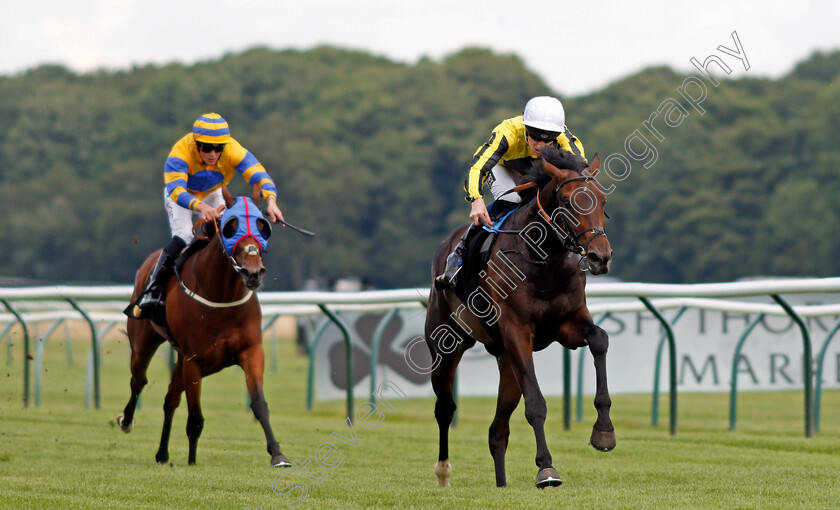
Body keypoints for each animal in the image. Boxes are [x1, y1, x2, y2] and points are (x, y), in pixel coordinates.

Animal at [116, 193, 290, 468]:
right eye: (230, 226)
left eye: (263, 227)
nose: (253, 272)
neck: (221, 295)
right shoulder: (194, 360)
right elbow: (195, 417)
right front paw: (192, 461)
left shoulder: (251, 351)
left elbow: (260, 404)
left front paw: (278, 454)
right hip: (143, 342)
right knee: (139, 380)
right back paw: (127, 420)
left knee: (170, 399)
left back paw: (162, 453)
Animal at [426, 145, 616, 488]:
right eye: (567, 201)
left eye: (602, 200)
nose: (600, 256)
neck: (543, 262)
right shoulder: (517, 332)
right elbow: (536, 404)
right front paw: (546, 468)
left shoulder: (567, 325)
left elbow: (600, 339)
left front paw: (604, 432)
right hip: (446, 344)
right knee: (445, 408)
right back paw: (443, 473)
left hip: (505, 360)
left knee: (497, 431)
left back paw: (501, 484)